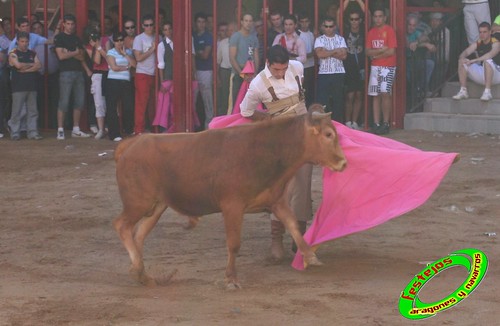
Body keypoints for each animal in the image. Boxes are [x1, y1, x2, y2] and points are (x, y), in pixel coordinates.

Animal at [114, 107, 346, 288]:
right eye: (328, 134)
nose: (343, 163)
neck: (268, 149)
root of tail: (131, 144)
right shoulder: (232, 206)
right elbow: (234, 243)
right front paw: (231, 279)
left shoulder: (276, 201)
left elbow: (293, 226)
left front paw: (311, 256)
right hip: (139, 202)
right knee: (122, 226)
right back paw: (138, 269)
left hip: (157, 205)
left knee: (139, 234)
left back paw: (142, 274)